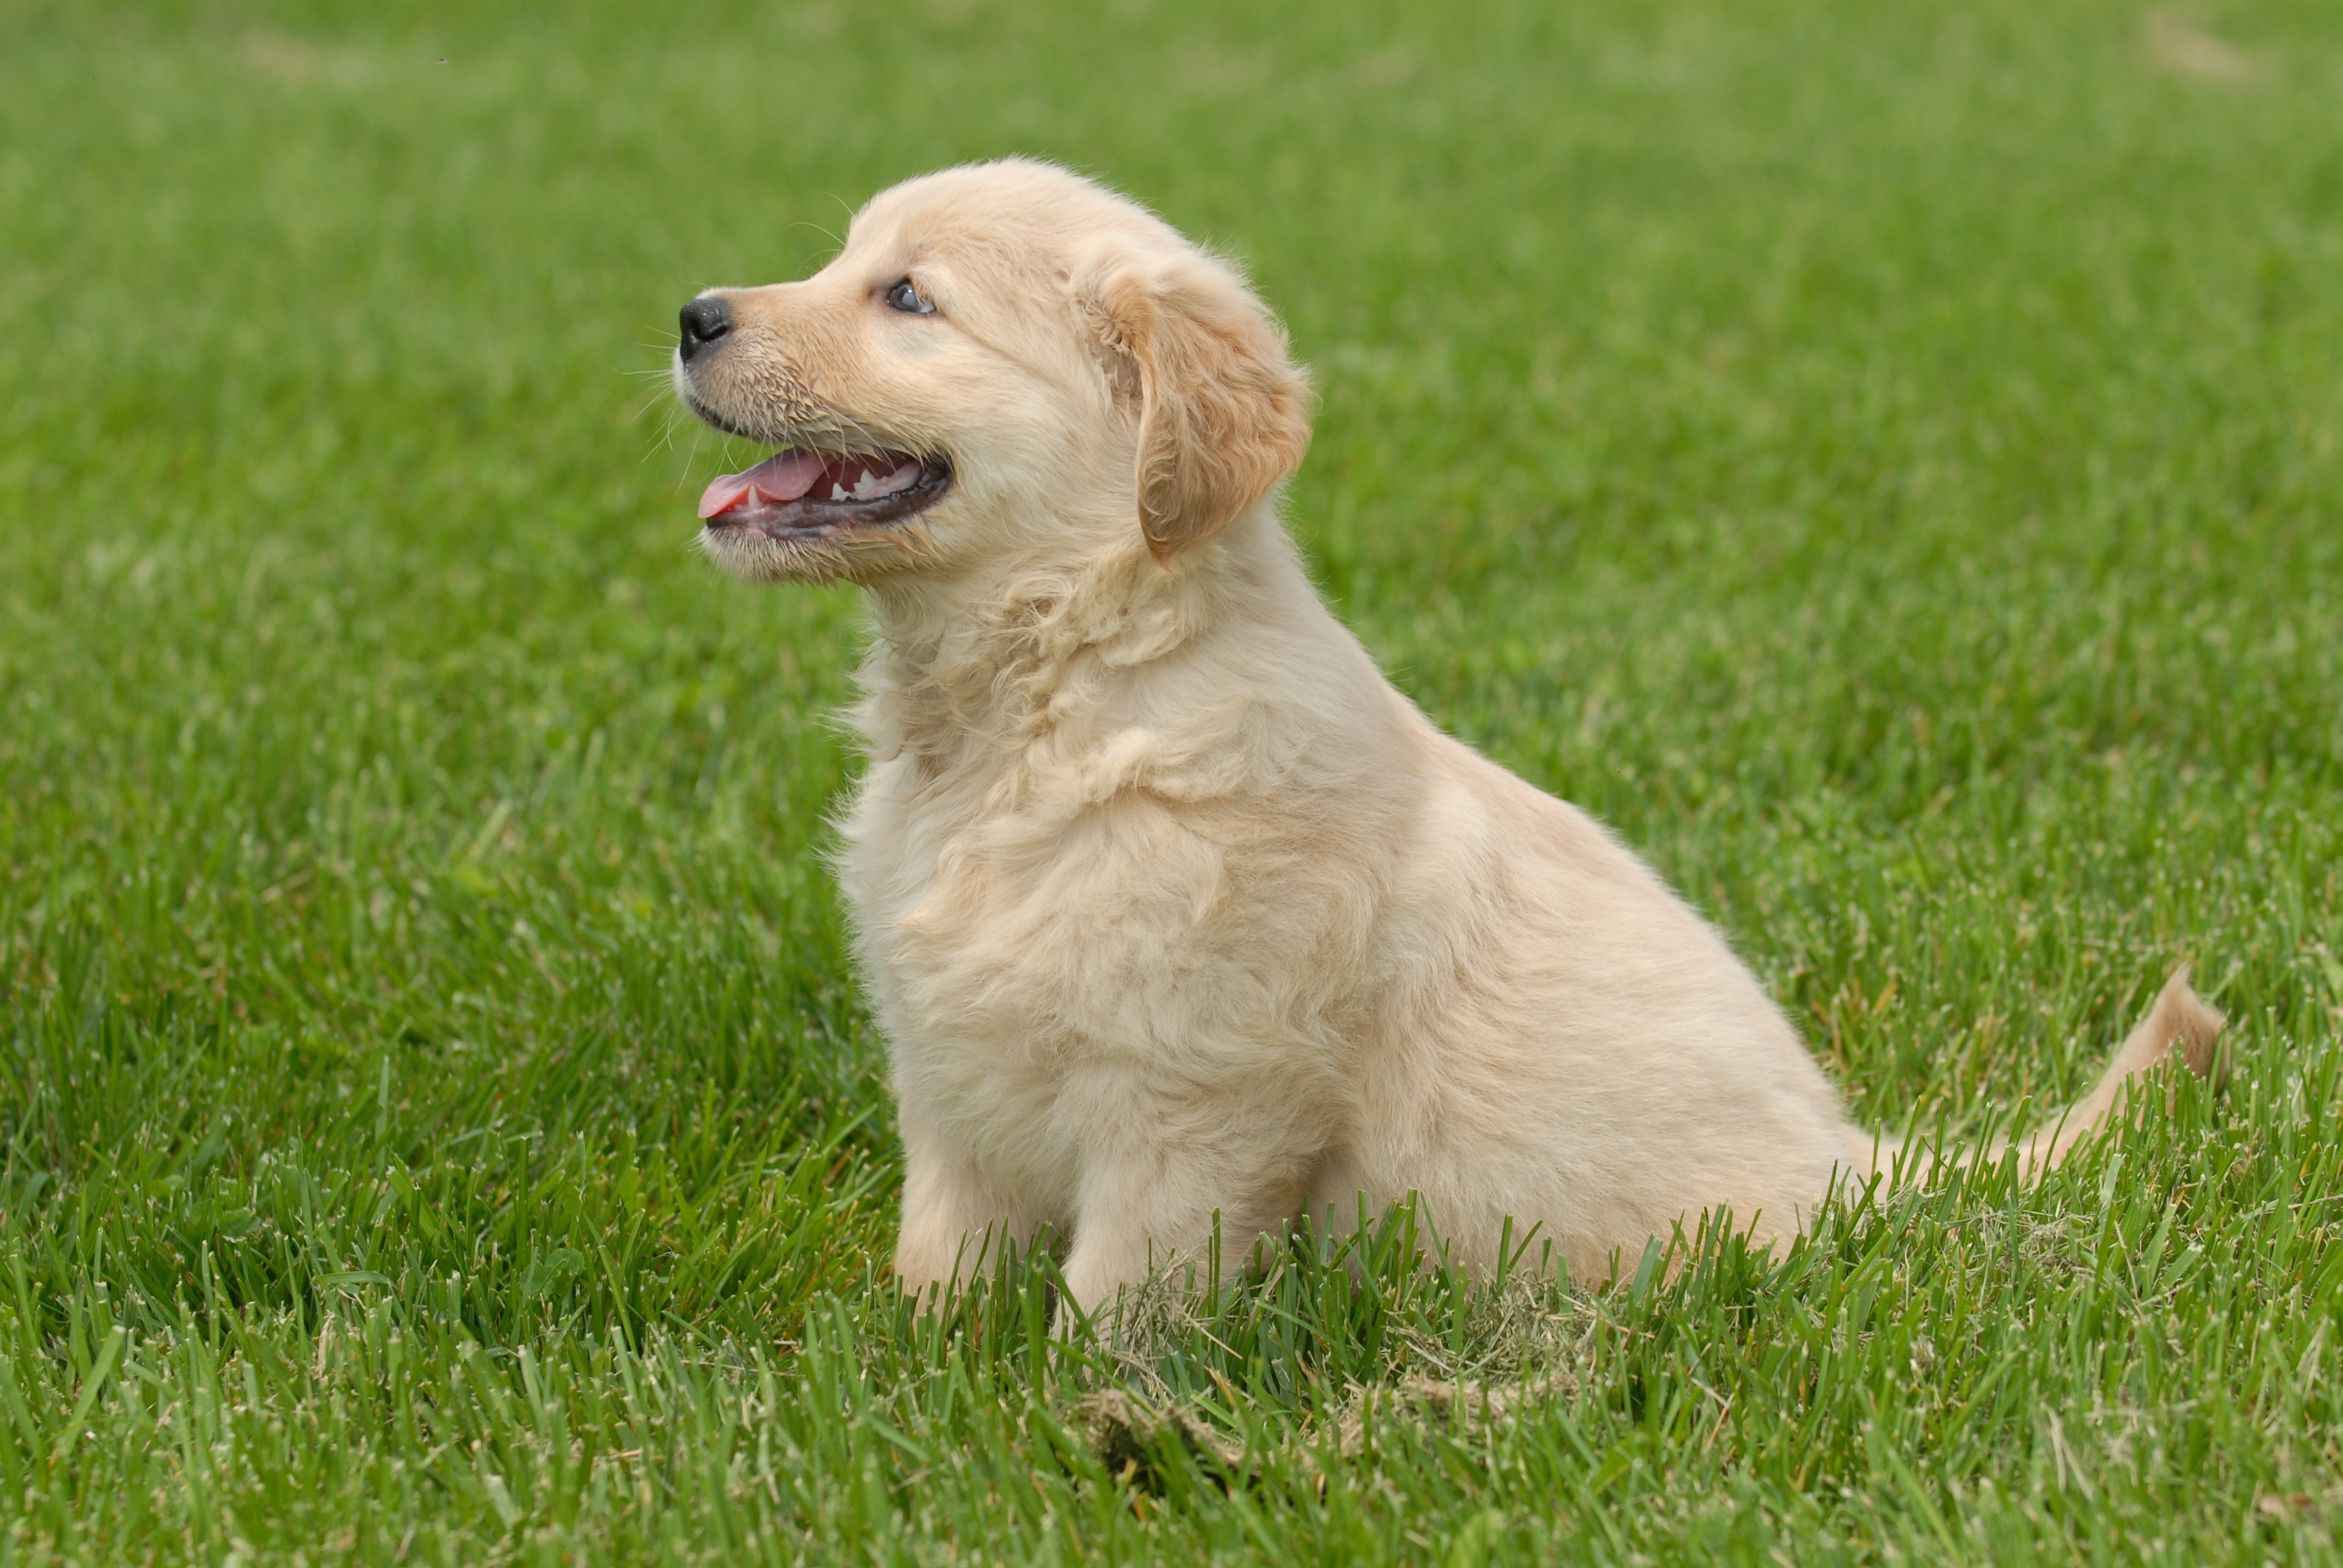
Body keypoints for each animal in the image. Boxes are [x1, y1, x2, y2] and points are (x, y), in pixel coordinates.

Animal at [670, 155, 2221, 1312]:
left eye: (910, 298)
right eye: (847, 261)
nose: (690, 313)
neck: (1043, 699)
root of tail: (1856, 1165)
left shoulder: (1195, 1102)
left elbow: (1112, 1304)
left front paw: (1064, 1427)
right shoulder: (949, 1080)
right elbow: (936, 1268)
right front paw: (915, 1367)